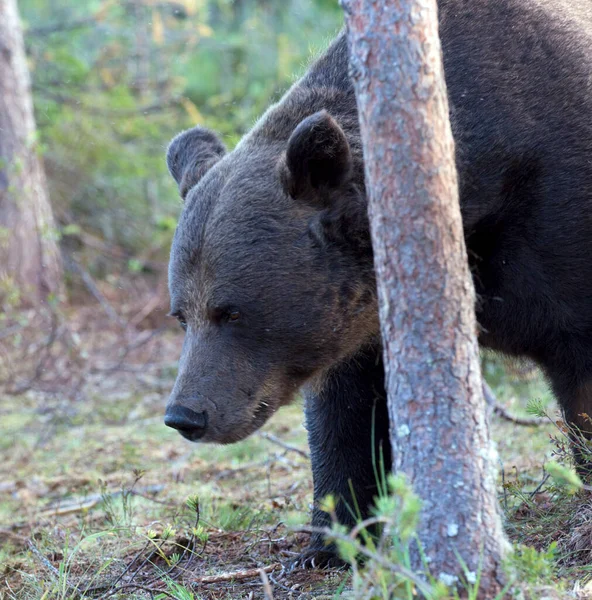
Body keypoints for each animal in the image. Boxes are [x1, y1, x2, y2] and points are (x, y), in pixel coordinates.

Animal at [164, 0, 592, 568]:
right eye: (181, 314)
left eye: (230, 310)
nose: (185, 414)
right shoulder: (360, 313)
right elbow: (346, 417)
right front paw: (330, 539)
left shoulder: (556, 218)